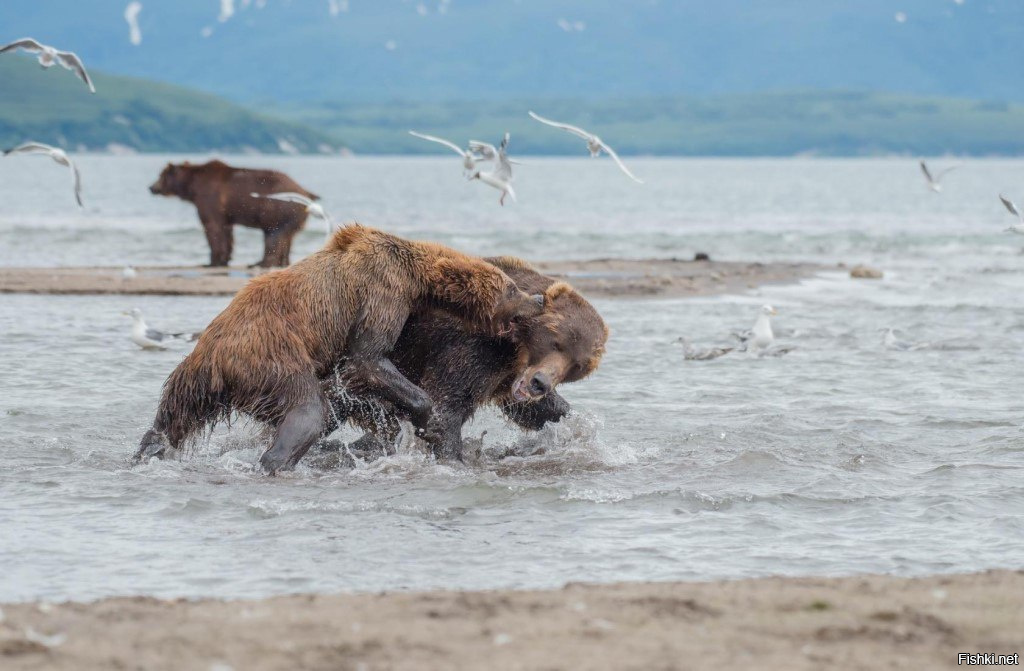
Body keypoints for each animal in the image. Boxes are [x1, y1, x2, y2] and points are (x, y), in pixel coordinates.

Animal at [139, 227, 548, 477]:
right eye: (511, 288)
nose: (540, 299)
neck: (417, 276)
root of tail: (215, 360)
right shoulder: (383, 289)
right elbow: (370, 357)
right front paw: (426, 418)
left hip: (191, 379)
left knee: (170, 419)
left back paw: (146, 452)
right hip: (272, 362)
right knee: (307, 411)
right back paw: (275, 462)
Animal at [149, 159, 317, 268]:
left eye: (161, 175)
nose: (151, 187)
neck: (192, 187)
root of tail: (306, 193)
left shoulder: (210, 199)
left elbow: (212, 228)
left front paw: (212, 261)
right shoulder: (226, 213)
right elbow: (226, 231)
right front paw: (225, 259)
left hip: (277, 208)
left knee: (274, 234)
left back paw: (262, 263)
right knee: (286, 236)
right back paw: (278, 262)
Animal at [327, 257, 606, 463]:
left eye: (577, 365)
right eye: (556, 342)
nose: (540, 383)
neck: (514, 347)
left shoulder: (505, 376)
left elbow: (533, 409)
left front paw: (577, 427)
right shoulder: (471, 345)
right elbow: (447, 402)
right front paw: (452, 458)